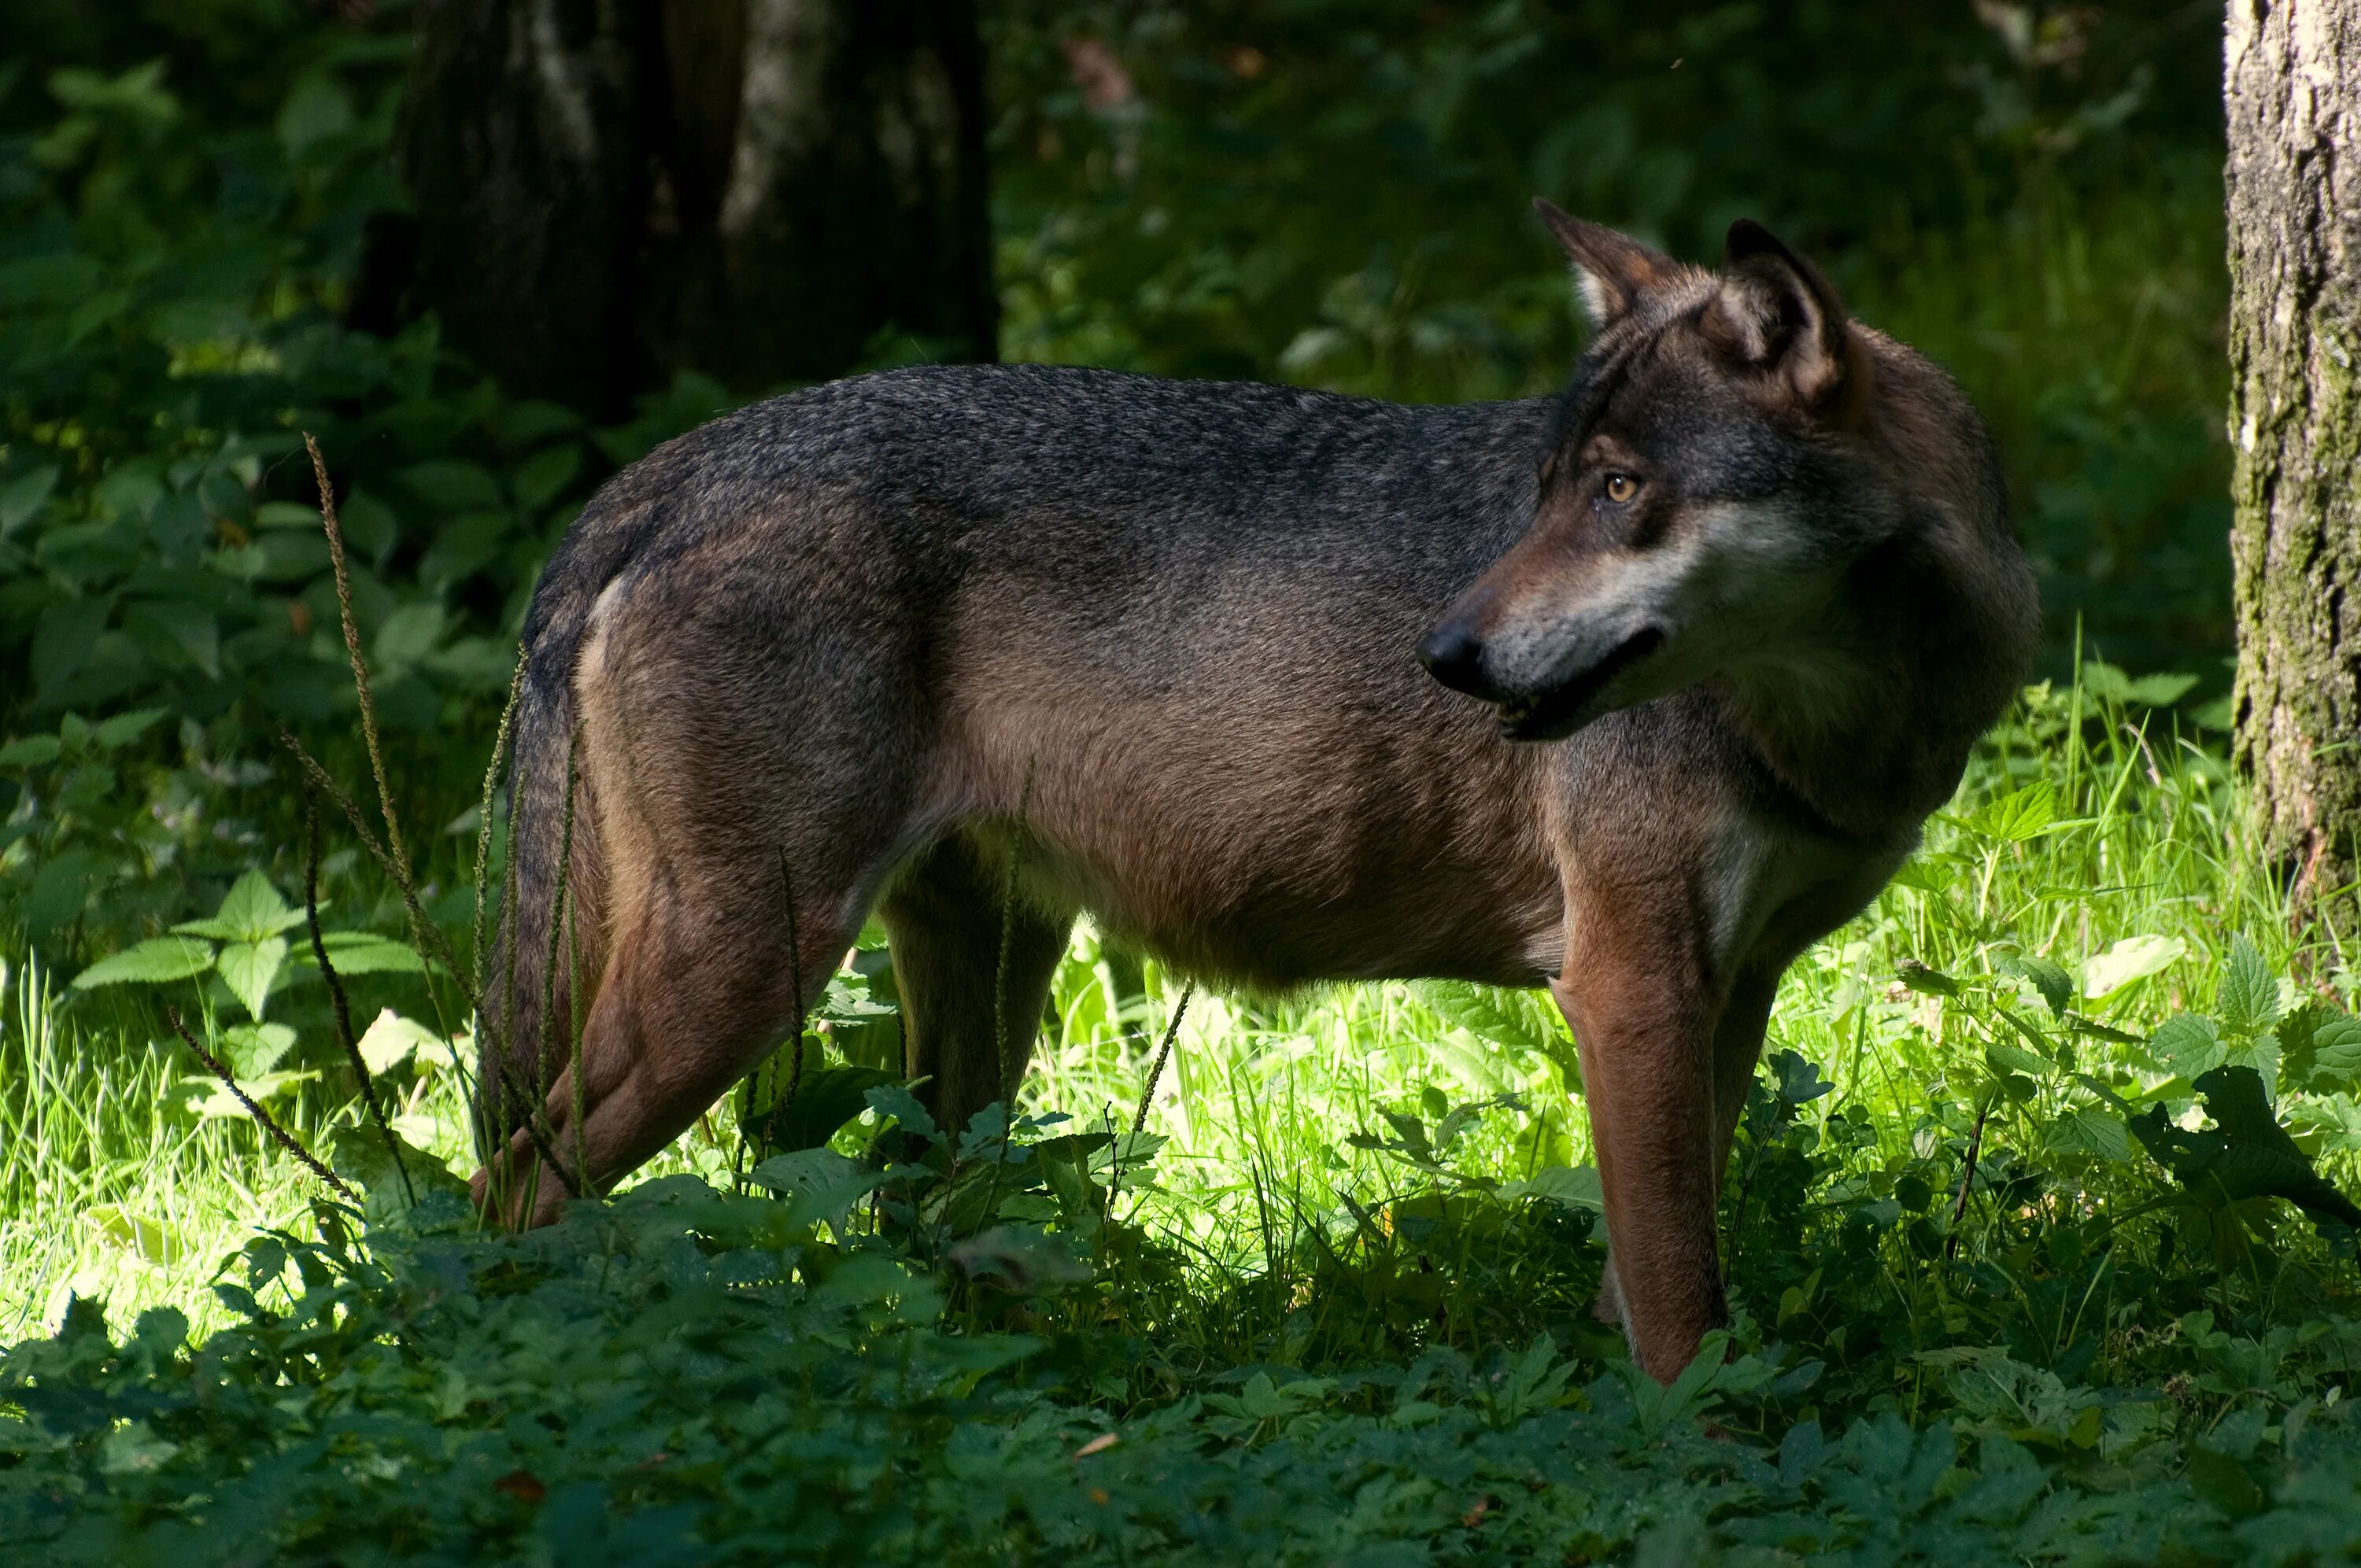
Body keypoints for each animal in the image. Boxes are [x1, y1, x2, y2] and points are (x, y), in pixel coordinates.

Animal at [479, 205, 2030, 1388]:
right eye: (1556, 487)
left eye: (1617, 490)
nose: (1443, 655)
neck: (1852, 724)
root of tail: (666, 471)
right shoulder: (1628, 986)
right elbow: (1677, 1308)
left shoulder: (1728, 993)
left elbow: (1644, 1276)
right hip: (748, 976)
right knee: (515, 1184)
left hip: (981, 996)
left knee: (902, 1218)